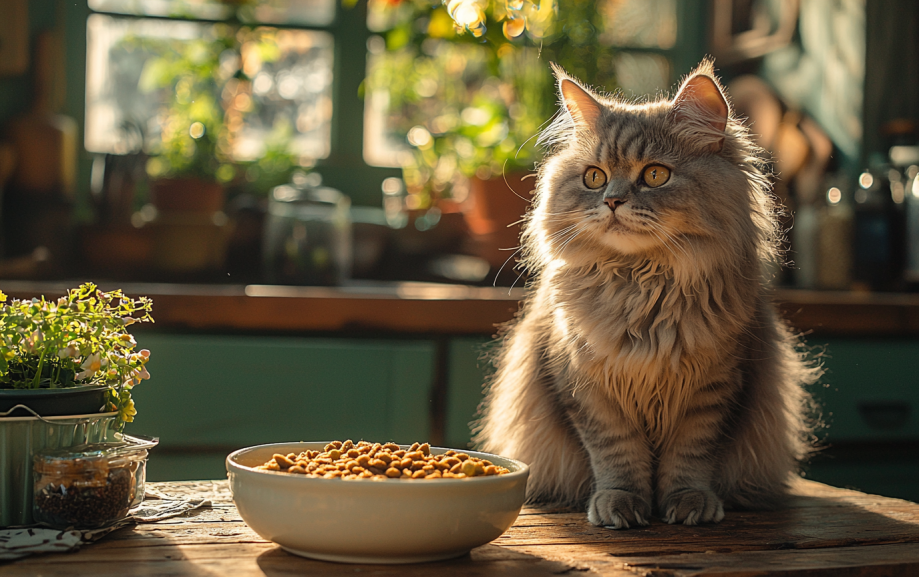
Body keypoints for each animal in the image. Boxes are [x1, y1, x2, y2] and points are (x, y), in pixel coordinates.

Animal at [474, 62, 820, 528]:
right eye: (594, 177)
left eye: (655, 175)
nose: (612, 201)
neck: (642, 286)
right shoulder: (586, 388)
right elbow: (617, 456)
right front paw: (620, 505)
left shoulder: (714, 389)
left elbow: (690, 458)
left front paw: (689, 503)